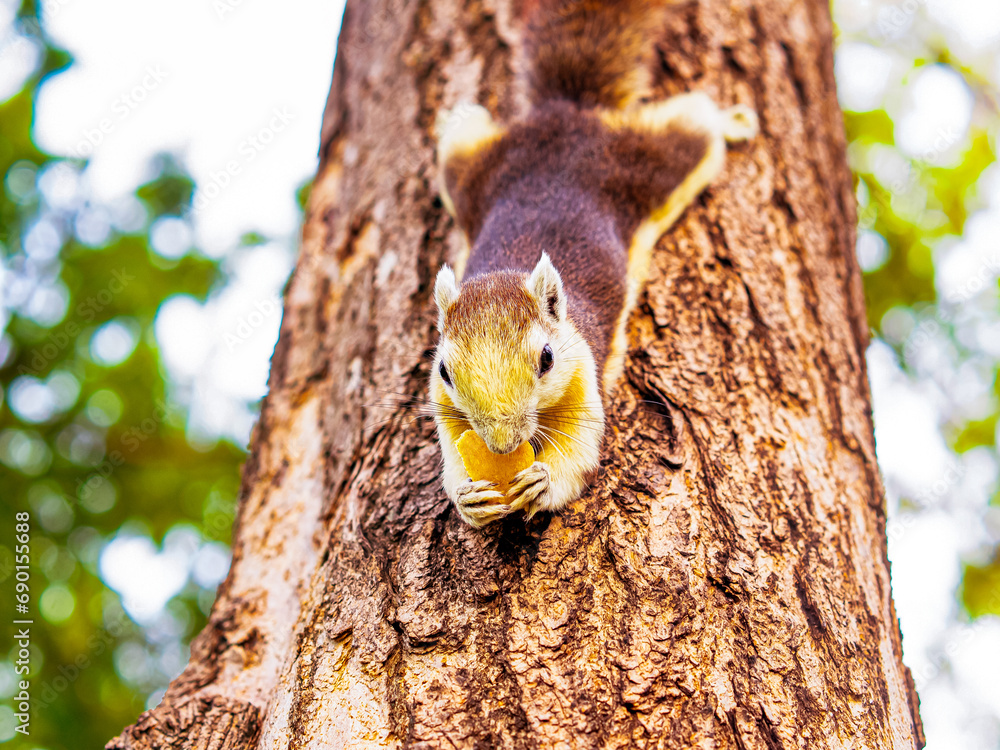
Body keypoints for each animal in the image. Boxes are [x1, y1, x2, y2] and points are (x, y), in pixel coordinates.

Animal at [430, 0, 756, 532]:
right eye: (445, 372)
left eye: (547, 358)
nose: (501, 444)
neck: (509, 267)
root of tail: (568, 112)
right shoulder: (441, 406)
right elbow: (452, 456)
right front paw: (467, 496)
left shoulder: (585, 375)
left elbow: (579, 455)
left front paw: (543, 482)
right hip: (467, 167)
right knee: (465, 128)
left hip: (656, 162)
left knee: (699, 122)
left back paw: (736, 120)